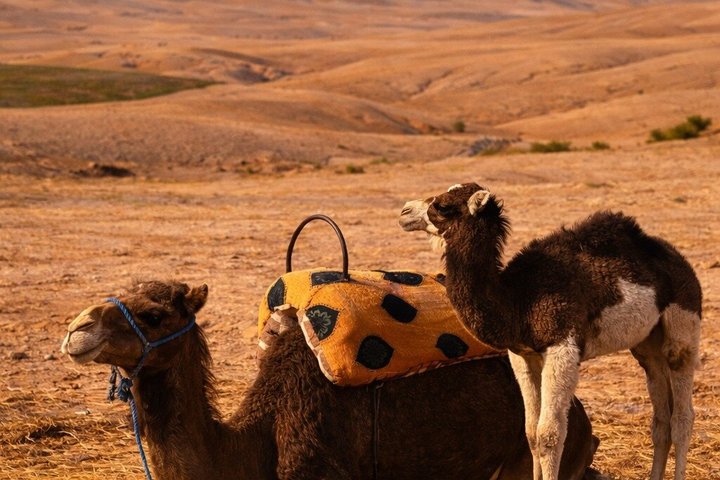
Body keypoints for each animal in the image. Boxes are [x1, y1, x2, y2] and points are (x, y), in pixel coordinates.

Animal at [399, 183, 702, 480]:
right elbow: (532, 433)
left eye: (442, 206)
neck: (516, 299)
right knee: (660, 418)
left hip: (684, 323)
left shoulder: (562, 348)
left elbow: (550, 435)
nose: (404, 212)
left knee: (682, 416)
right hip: (647, 345)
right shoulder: (522, 355)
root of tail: (681, 263)